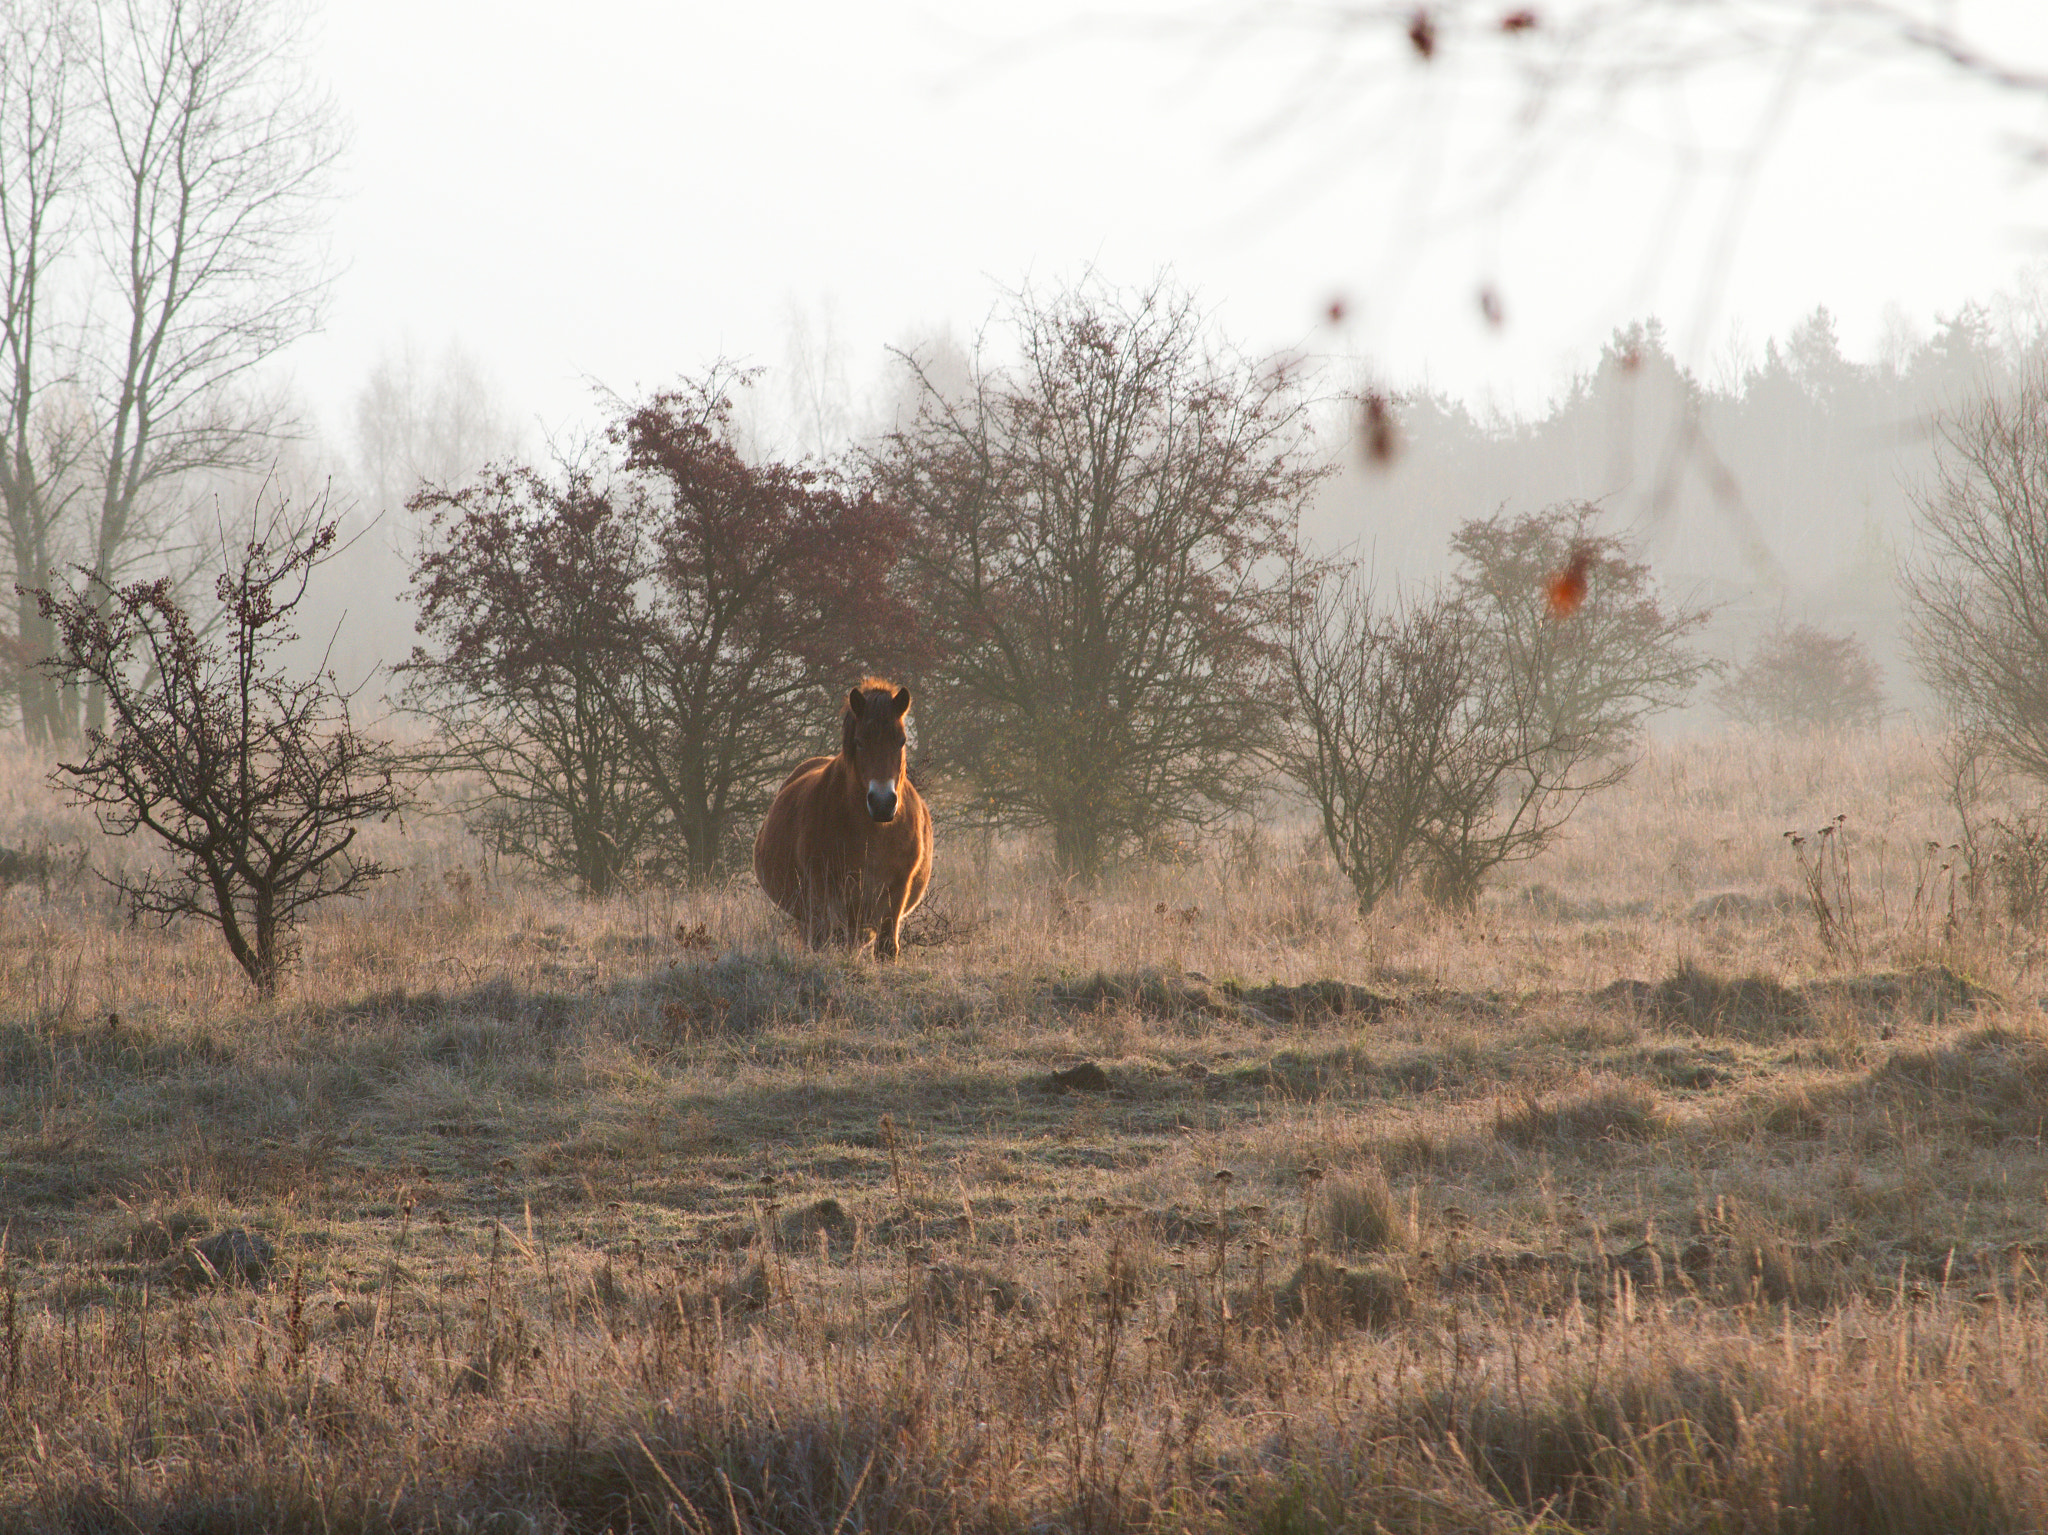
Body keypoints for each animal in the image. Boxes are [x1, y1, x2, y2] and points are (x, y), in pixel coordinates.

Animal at [754, 678, 933, 960]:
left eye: (901, 741)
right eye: (859, 742)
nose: (882, 803)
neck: (875, 833)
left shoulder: (896, 891)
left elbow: (886, 948)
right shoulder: (828, 891)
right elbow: (831, 942)